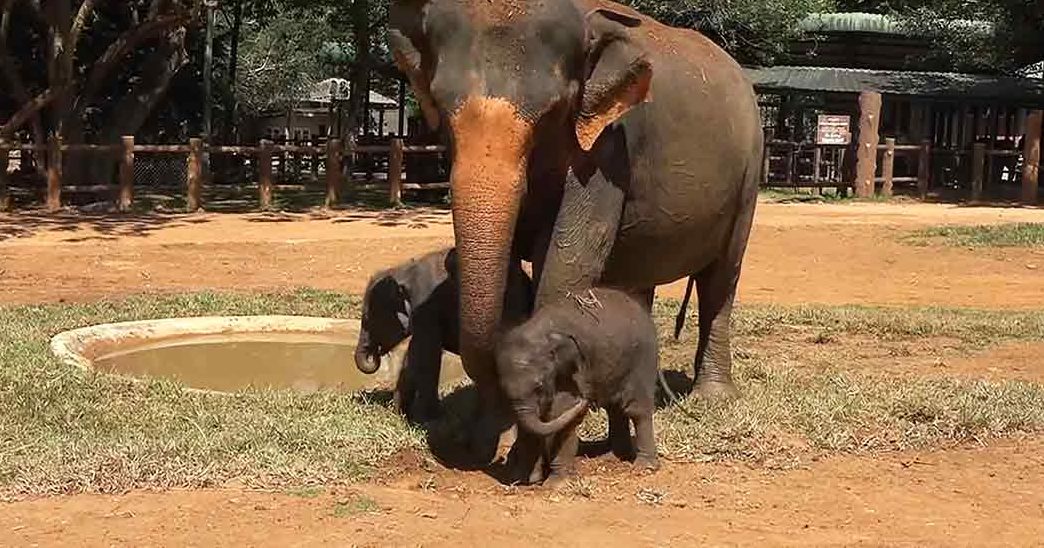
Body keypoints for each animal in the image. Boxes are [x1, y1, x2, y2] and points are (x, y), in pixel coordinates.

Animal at [354, 247, 533, 423]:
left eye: (368, 319)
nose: (373, 356)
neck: (404, 270)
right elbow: (413, 355)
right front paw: (400, 414)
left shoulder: (426, 307)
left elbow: (426, 355)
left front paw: (428, 419)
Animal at [388, 0, 762, 455]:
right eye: (441, 106)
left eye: (553, 111)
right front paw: (492, 433)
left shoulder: (608, 150)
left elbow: (566, 263)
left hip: (748, 178)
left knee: (720, 280)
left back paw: (711, 397)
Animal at [495, 287, 660, 485]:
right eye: (504, 390)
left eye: (539, 385)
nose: (586, 399)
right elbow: (532, 424)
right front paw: (524, 479)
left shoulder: (569, 375)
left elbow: (560, 415)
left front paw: (555, 484)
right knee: (615, 409)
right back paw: (614, 457)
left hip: (642, 359)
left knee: (636, 409)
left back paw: (644, 466)